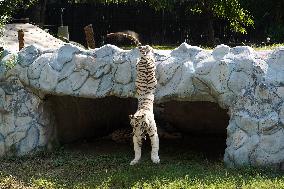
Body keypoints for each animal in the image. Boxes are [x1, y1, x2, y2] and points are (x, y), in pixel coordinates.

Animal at [107, 32, 160, 165]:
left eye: (138, 125)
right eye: (132, 125)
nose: (132, 132)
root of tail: (144, 58)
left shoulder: (154, 133)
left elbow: (155, 147)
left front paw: (155, 159)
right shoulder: (136, 137)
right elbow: (137, 148)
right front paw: (135, 160)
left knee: (147, 51)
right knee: (146, 50)